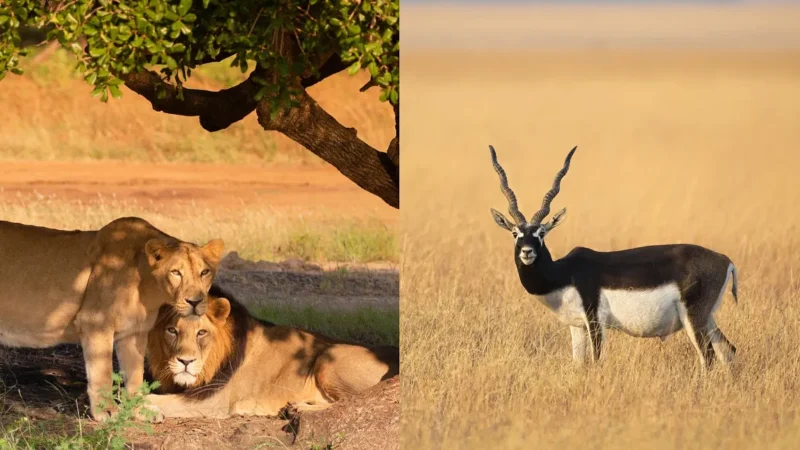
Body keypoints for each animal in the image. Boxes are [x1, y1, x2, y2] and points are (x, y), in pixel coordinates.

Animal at [0, 218, 223, 422]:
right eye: (176, 272)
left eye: (204, 272)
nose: (195, 301)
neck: (146, 284)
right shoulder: (95, 322)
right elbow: (102, 373)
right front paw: (106, 412)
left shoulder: (134, 333)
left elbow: (135, 374)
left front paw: (140, 410)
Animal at [145, 284, 400, 418]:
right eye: (172, 330)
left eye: (201, 332)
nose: (185, 361)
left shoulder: (213, 401)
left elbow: (155, 399)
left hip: (330, 356)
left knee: (350, 402)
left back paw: (296, 408)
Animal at [488, 145, 736, 370]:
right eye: (515, 233)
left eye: (541, 233)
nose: (527, 252)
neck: (565, 274)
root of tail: (726, 260)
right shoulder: (576, 326)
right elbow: (579, 364)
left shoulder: (595, 321)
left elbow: (597, 361)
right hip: (707, 318)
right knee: (728, 350)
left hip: (694, 319)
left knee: (709, 358)